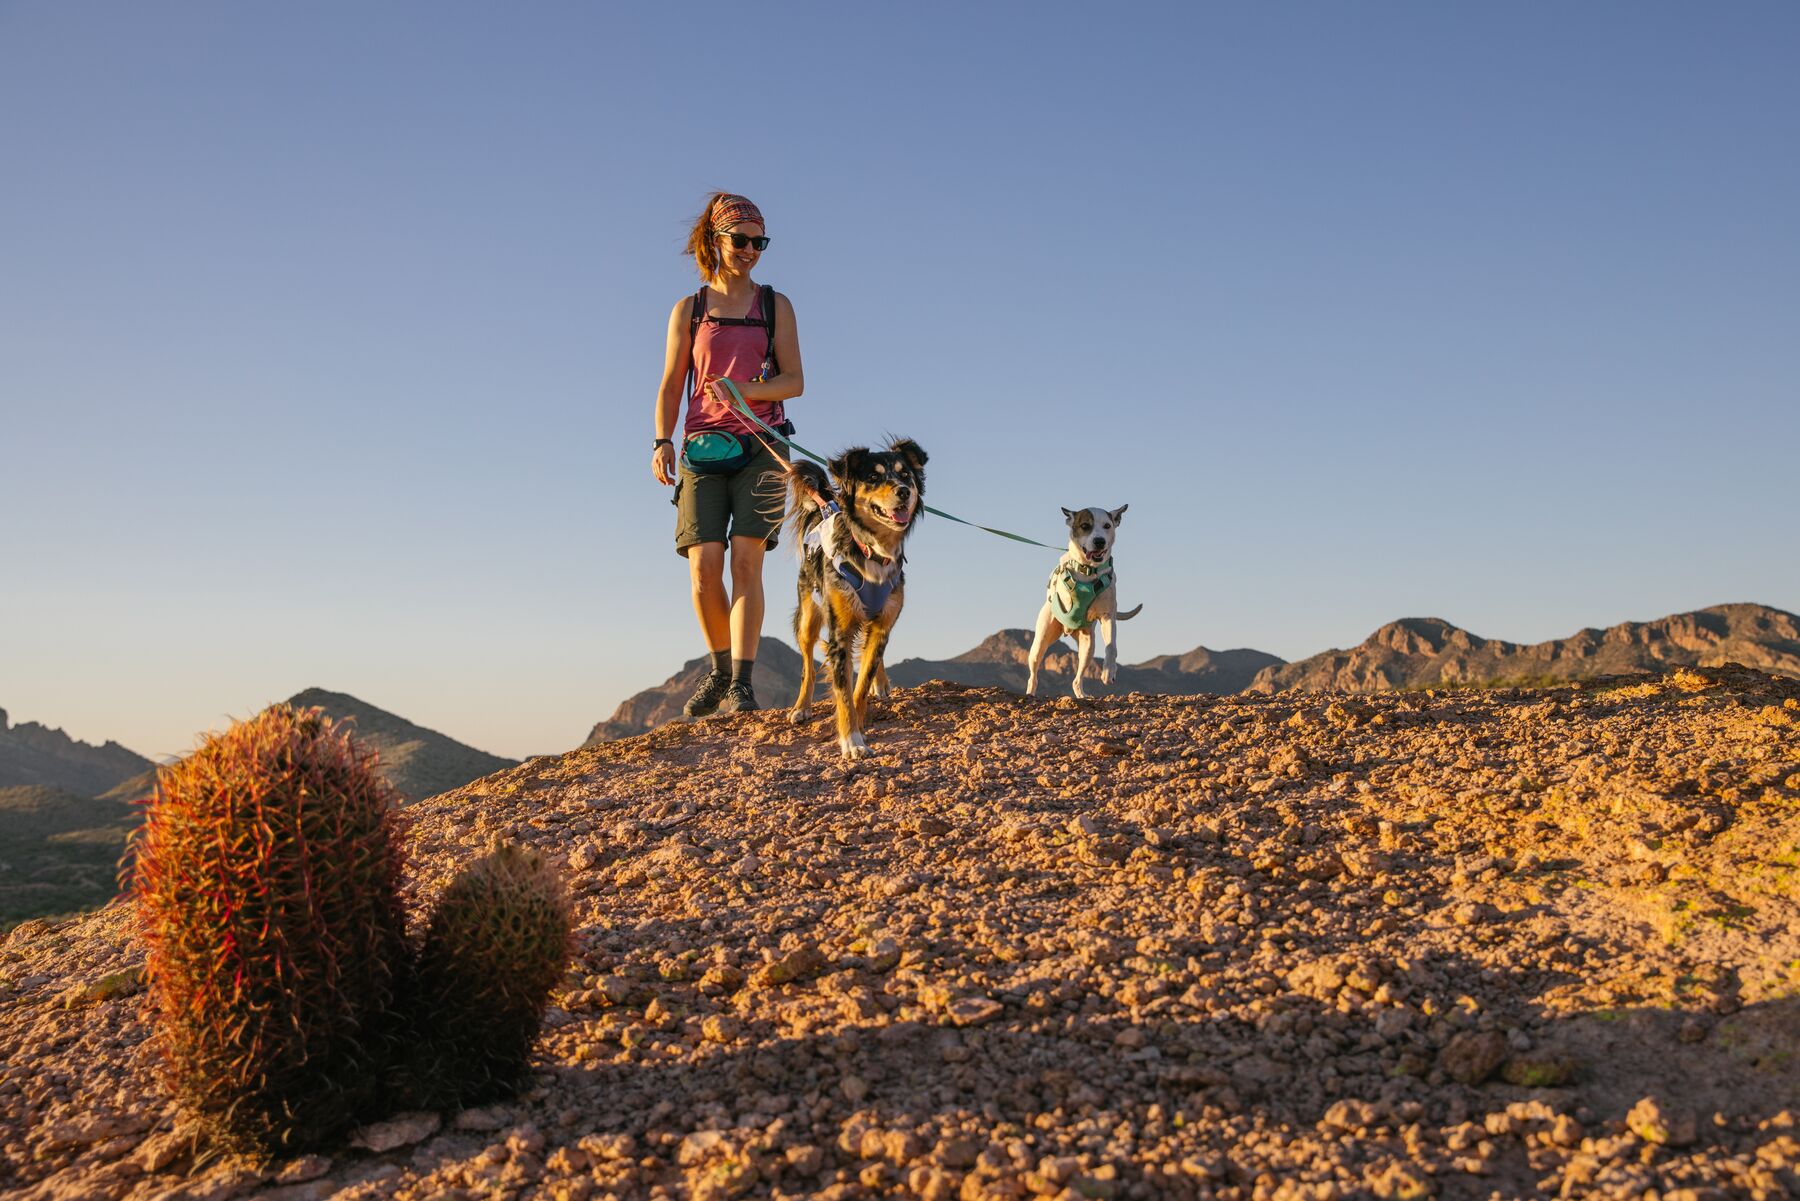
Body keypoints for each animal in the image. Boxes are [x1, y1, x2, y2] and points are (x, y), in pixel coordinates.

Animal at [788, 439, 928, 759]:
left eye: (905, 475)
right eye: (873, 477)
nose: (904, 490)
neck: (873, 551)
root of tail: (825, 510)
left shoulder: (883, 623)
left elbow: (861, 683)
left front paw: (861, 721)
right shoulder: (839, 632)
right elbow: (843, 691)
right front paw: (851, 741)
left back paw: (882, 682)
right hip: (808, 617)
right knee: (806, 666)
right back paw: (801, 707)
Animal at [1029, 504, 1137, 695]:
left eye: (1107, 526)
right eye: (1085, 526)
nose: (1100, 541)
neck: (1089, 570)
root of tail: (1068, 632)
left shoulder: (1107, 616)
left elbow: (1111, 646)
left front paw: (1109, 671)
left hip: (1088, 646)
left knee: (1076, 679)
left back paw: (1082, 694)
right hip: (1040, 642)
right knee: (1033, 676)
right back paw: (1030, 694)